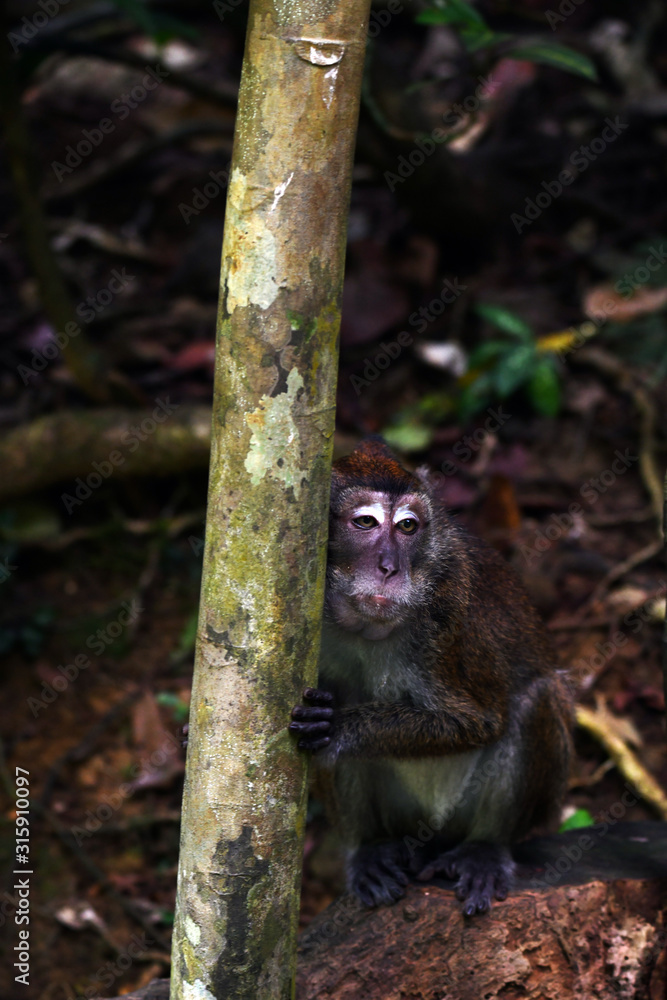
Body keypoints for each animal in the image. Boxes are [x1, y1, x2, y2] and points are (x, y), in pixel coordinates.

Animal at [289, 438, 573, 916]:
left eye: (408, 527)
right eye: (365, 522)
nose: (390, 567)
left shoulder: (446, 623)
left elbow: (477, 722)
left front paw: (342, 726)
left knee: (536, 699)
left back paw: (484, 849)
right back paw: (370, 849)